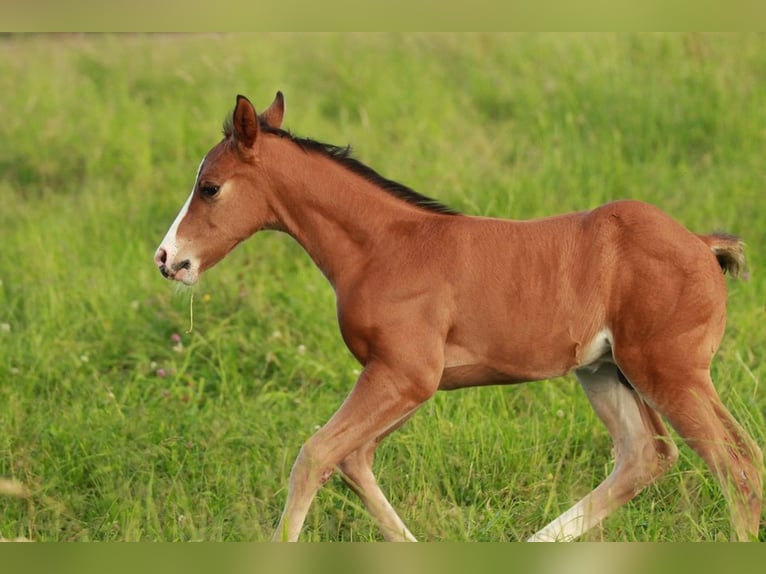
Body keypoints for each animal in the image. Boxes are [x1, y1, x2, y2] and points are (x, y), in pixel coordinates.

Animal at [156, 92, 760, 544]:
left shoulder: (404, 376)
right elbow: (353, 461)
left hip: (668, 371)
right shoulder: (403, 380)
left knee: (738, 464)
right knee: (647, 455)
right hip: (605, 371)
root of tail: (701, 244)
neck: (384, 247)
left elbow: (316, 455)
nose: (168, 259)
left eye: (209, 187)